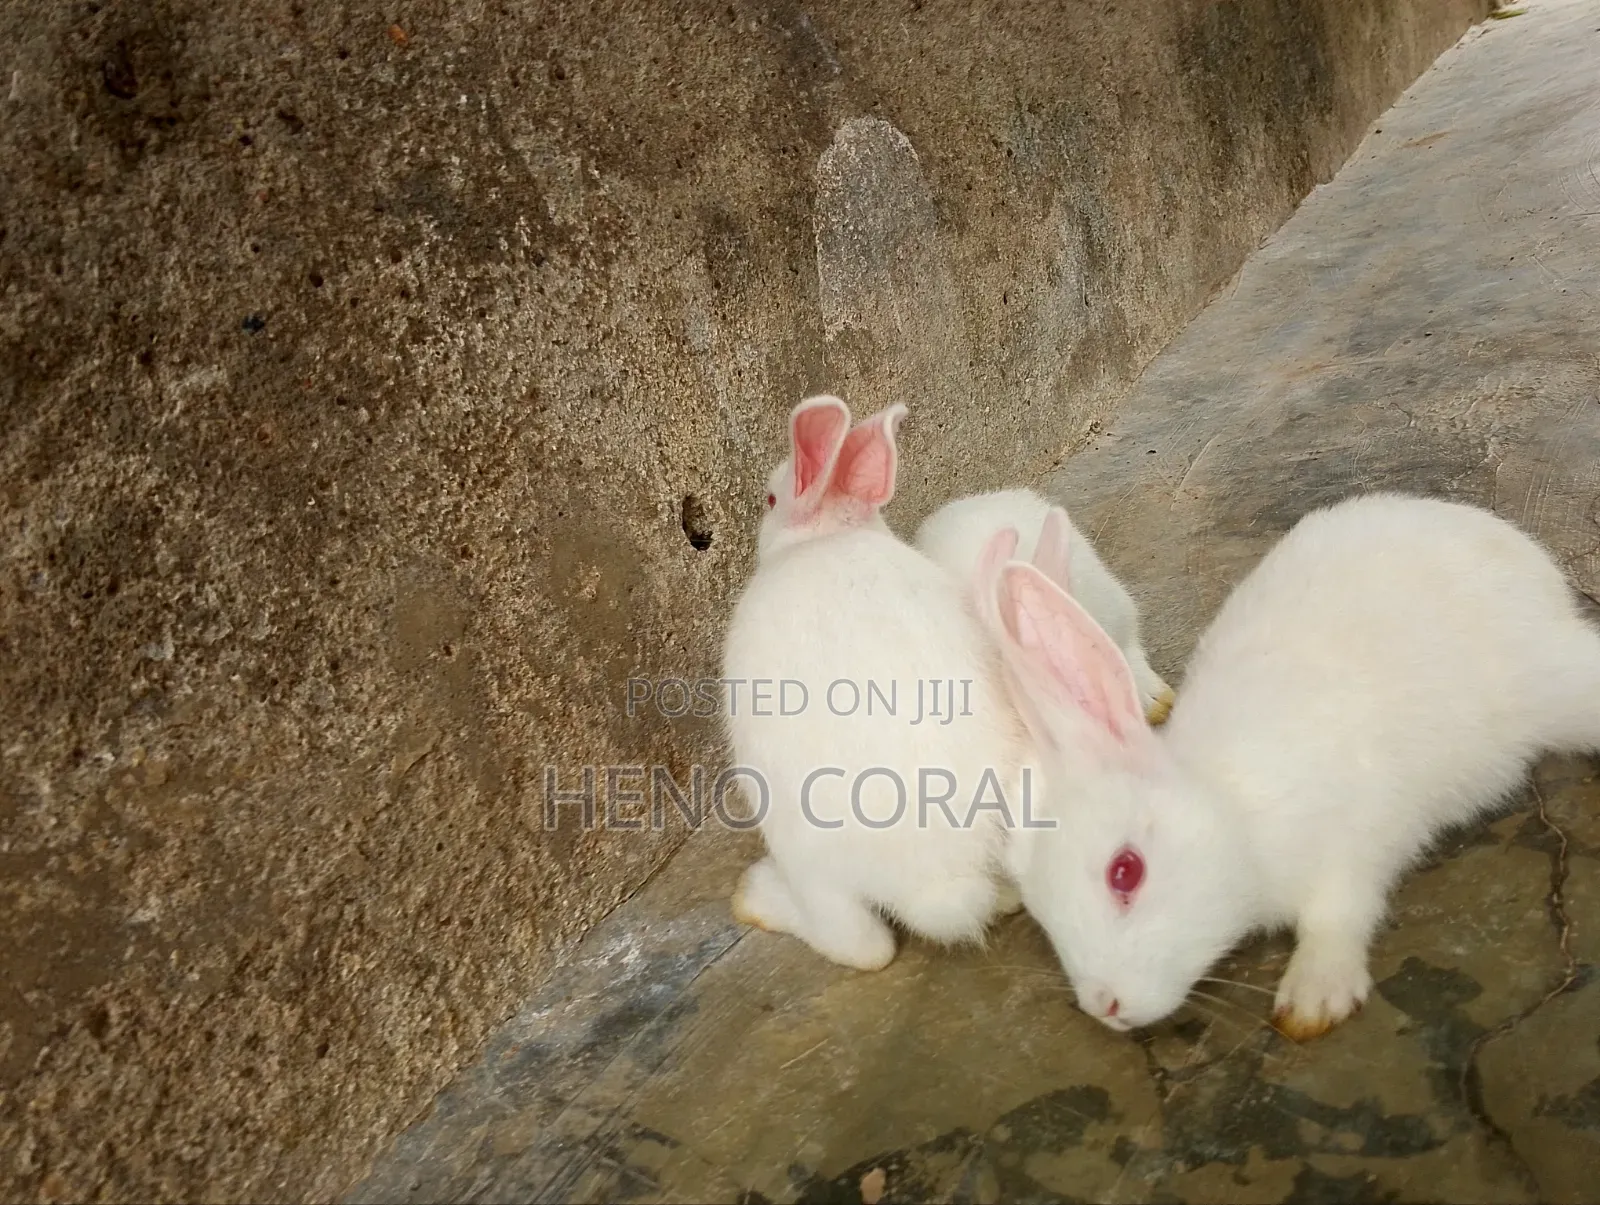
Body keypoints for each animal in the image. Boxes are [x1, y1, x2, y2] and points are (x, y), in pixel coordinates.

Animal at [723, 395, 1040, 970]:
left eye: (770, 498)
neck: (827, 535)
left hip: (810, 862)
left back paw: (757, 898)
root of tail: (939, 882)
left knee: (864, 948)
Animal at [988, 491, 1600, 1040]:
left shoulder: (1360, 838)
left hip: (1550, 685)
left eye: (1126, 871)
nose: (1105, 1006)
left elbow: (1339, 912)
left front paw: (1313, 998)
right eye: (1037, 905)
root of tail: (1521, 554)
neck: (1232, 810)